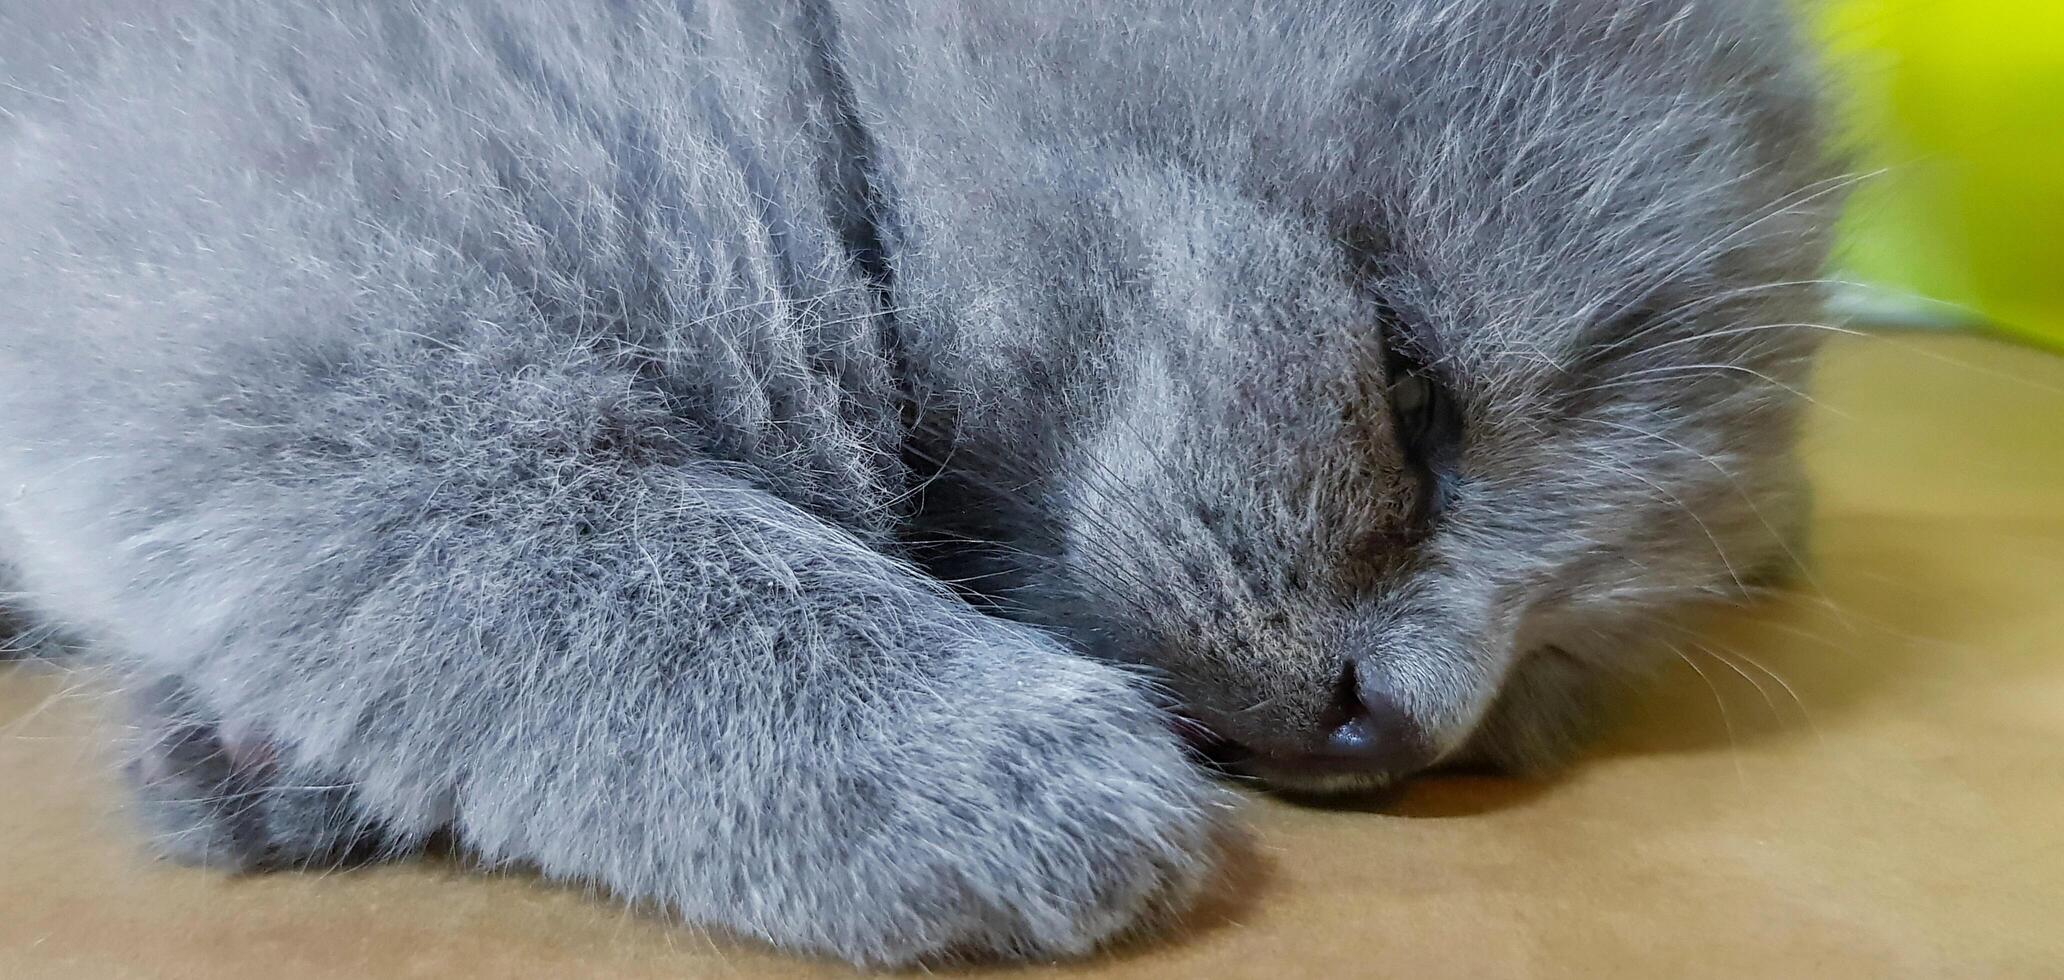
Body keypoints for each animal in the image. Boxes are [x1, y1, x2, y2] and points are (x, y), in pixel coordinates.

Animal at [0, 0, 1841, 965]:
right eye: (1410, 398)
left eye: (1552, 672)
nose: (1394, 724)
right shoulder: (267, 286)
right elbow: (592, 547)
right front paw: (979, 773)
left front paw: (244, 763)